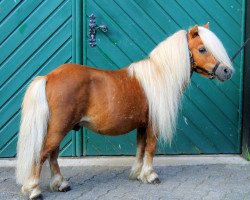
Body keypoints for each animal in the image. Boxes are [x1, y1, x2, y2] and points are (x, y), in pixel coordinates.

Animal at [16, 24, 233, 199]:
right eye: (202, 49)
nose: (226, 71)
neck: (161, 75)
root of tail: (49, 77)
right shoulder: (152, 125)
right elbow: (150, 148)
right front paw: (150, 176)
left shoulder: (142, 125)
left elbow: (140, 148)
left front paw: (137, 174)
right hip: (59, 127)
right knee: (42, 154)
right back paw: (34, 190)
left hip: (60, 128)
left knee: (52, 154)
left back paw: (61, 184)